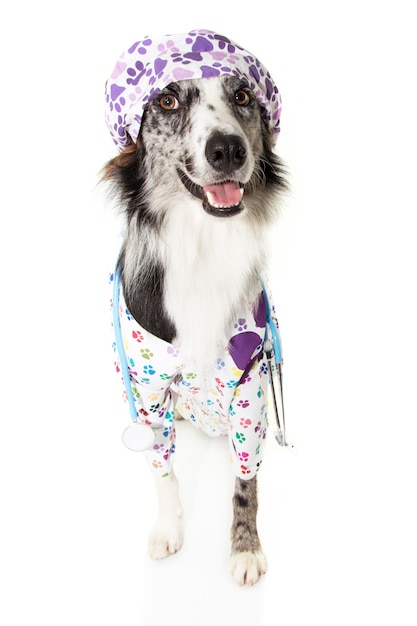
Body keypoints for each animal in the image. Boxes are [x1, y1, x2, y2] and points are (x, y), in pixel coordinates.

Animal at [102, 29, 288, 584]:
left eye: (243, 96)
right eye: (166, 101)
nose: (227, 149)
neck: (203, 238)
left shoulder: (250, 388)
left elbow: (246, 482)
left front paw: (245, 548)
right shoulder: (145, 394)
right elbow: (161, 470)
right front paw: (169, 529)